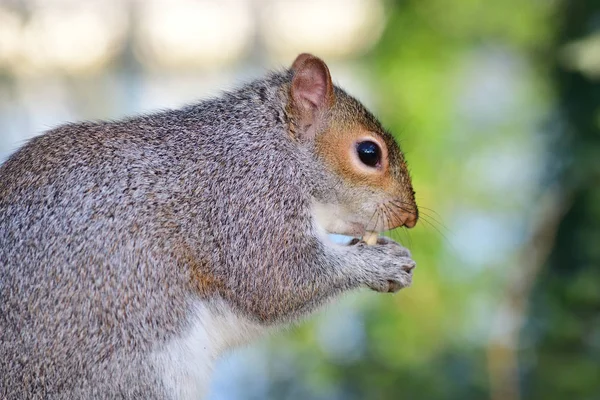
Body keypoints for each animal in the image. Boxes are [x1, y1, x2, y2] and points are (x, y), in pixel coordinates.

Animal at [0, 54, 418, 400]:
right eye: (369, 153)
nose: (411, 217)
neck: (276, 147)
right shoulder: (245, 201)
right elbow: (277, 281)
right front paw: (382, 263)